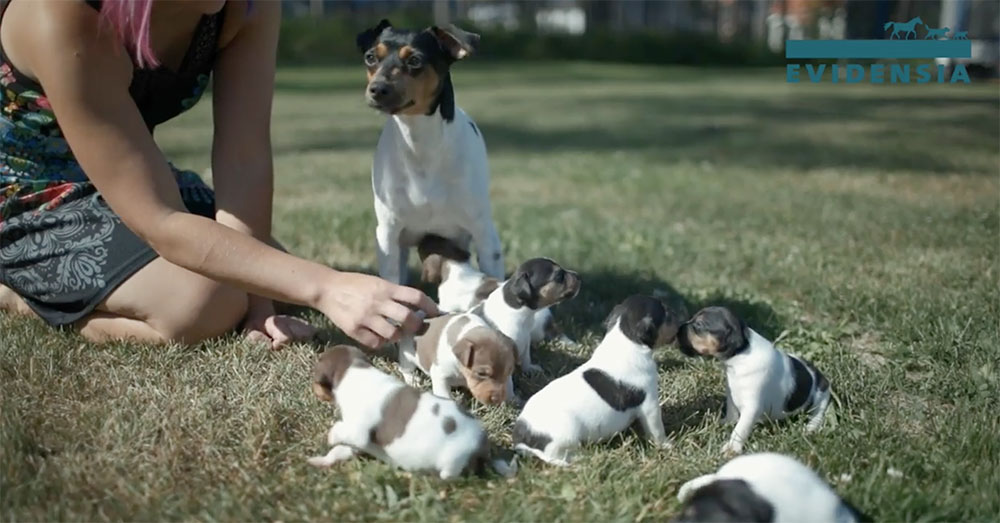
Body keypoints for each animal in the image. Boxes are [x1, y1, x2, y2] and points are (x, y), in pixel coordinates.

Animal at [308, 346, 516, 482]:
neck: (354, 371)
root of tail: (484, 442)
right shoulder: (358, 444)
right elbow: (339, 451)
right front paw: (320, 461)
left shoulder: (358, 432)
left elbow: (340, 431)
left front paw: (330, 436)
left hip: (452, 460)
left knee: (451, 477)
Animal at [512, 294, 684, 466]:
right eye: (666, 313)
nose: (679, 316)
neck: (626, 340)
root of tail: (522, 437)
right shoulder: (650, 405)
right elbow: (657, 430)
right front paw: (667, 445)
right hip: (566, 437)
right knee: (558, 456)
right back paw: (583, 458)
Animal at [676, 308, 832, 454]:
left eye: (699, 324)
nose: (678, 329)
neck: (740, 355)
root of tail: (819, 376)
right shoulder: (732, 394)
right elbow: (732, 412)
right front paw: (727, 422)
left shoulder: (752, 407)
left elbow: (740, 429)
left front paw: (732, 449)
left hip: (821, 396)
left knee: (818, 412)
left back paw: (810, 428)